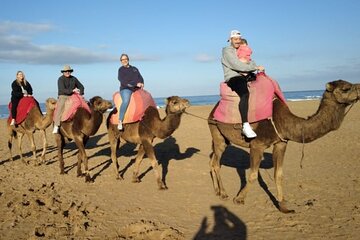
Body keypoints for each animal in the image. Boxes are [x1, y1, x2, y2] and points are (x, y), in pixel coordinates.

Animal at [208, 79, 360, 213]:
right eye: (345, 88)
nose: (359, 88)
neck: (283, 122)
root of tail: (213, 110)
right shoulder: (257, 145)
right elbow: (253, 175)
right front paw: (239, 199)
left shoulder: (281, 143)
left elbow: (279, 174)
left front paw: (283, 206)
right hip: (216, 132)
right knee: (216, 162)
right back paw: (223, 193)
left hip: (224, 139)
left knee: (212, 160)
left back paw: (216, 190)